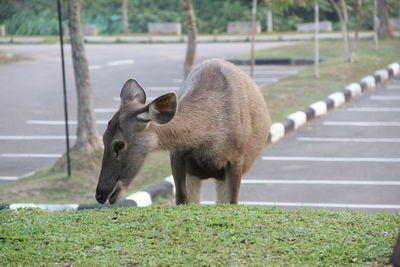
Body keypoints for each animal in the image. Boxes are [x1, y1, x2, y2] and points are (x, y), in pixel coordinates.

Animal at [96, 58, 272, 205]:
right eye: (103, 138)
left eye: (119, 144)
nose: (100, 194)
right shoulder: (177, 156)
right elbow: (181, 199)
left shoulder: (236, 158)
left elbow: (233, 201)